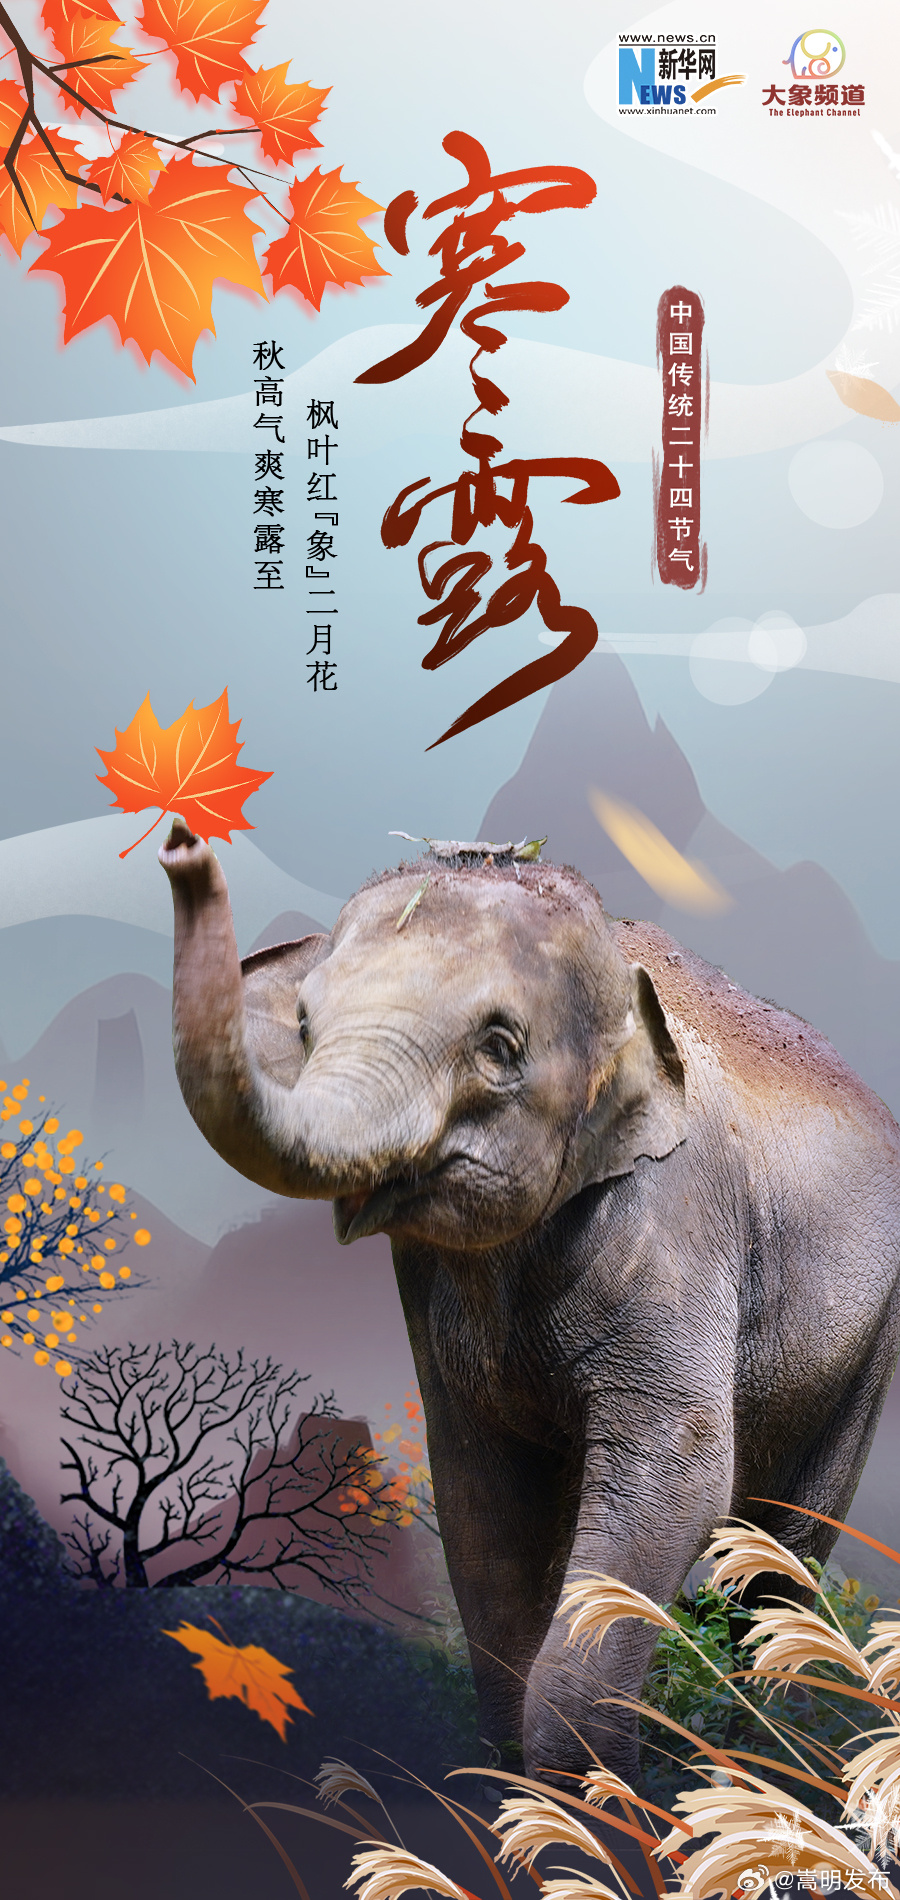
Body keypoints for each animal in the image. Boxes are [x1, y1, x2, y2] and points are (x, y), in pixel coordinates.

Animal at [159, 818, 900, 1789]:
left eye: (500, 1047)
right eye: (306, 1025)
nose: (181, 844)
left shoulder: (675, 1222)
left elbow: (684, 1470)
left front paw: (590, 1796)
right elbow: (480, 1496)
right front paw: (514, 1788)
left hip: (871, 1341)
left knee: (786, 1548)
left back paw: (769, 1758)